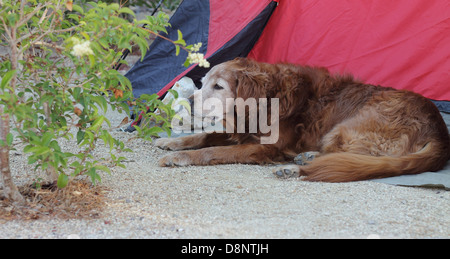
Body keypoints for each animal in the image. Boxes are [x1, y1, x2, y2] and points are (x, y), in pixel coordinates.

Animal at [155, 58, 450, 183]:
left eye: (218, 86)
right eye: (203, 82)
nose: (189, 102)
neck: (269, 97)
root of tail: (439, 131)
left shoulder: (266, 148)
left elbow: (212, 150)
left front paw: (179, 157)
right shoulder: (245, 130)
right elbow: (205, 135)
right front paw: (172, 142)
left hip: (348, 126)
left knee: (351, 159)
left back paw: (296, 168)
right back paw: (306, 158)